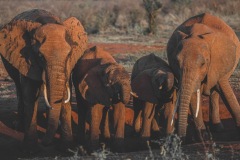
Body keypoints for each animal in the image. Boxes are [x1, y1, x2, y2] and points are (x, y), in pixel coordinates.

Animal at [0, 9, 88, 151]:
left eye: (69, 54)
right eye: (40, 56)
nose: (44, 143)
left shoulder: (67, 66)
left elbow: (65, 96)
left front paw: (67, 146)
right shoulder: (27, 60)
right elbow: (30, 96)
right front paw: (31, 147)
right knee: (19, 88)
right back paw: (19, 126)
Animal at [167, 12, 240, 140]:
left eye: (203, 64)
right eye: (176, 63)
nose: (179, 136)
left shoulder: (217, 63)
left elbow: (226, 92)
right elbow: (193, 95)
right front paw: (203, 137)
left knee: (215, 92)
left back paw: (217, 128)